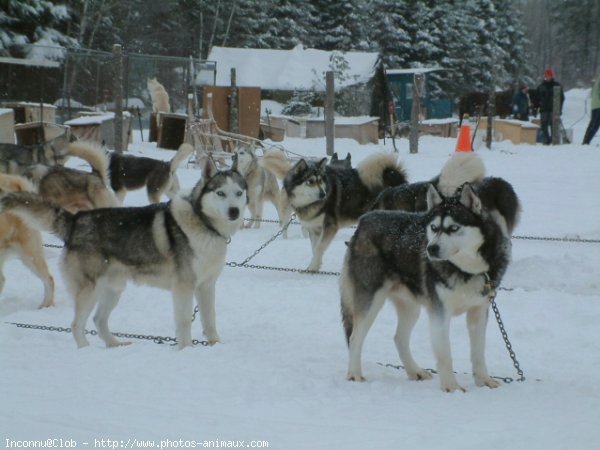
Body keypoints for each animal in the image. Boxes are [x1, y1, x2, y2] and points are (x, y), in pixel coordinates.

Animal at [278, 153, 406, 268]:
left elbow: (319, 247)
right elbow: (315, 249)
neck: (311, 203)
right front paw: (316, 266)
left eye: (320, 180)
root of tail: (395, 177)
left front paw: (311, 268)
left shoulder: (330, 226)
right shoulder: (314, 229)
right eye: (310, 181)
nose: (323, 194)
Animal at [340, 156, 516, 392]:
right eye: (433, 227)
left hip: (411, 306)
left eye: (453, 228)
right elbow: (445, 354)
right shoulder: (440, 313)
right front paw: (451, 387)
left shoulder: (479, 312)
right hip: (371, 301)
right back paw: (354, 374)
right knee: (355, 337)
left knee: (399, 338)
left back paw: (414, 371)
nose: (431, 249)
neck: (466, 268)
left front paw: (483, 380)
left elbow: (479, 353)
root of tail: (365, 219)